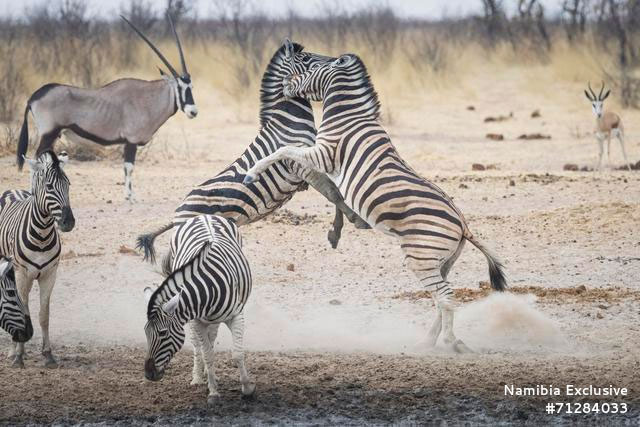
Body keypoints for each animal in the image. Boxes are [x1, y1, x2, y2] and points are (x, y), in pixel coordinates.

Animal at [0, 150, 75, 368]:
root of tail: (16, 190)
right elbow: (22, 310)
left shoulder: (49, 274)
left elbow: (44, 315)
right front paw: (18, 355)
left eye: (68, 184)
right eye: (49, 186)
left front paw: (48, 355)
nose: (68, 222)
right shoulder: (22, 275)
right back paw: (13, 351)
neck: (41, 236)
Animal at [17, 13, 196, 201]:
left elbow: (127, 167)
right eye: (179, 87)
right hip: (48, 134)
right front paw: (130, 197)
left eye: (191, 87)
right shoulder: (131, 141)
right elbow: (129, 167)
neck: (147, 99)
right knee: (36, 161)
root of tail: (34, 97)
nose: (193, 111)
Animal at [136, 40, 368, 262]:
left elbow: (334, 191)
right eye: (306, 58)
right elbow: (333, 192)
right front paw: (357, 222)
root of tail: (177, 214)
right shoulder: (300, 163)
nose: (337, 59)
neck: (288, 121)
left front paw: (338, 231)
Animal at [145, 216, 255, 406]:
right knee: (199, 346)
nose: (148, 374)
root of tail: (203, 215)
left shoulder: (236, 316)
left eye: (163, 333)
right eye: (146, 332)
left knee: (211, 338)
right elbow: (207, 355)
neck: (207, 289)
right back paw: (198, 377)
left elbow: (238, 354)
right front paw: (213, 393)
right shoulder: (197, 321)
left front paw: (247, 389)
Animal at [242, 53, 508, 354]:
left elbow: (284, 150)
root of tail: (463, 224)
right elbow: (321, 182)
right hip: (440, 260)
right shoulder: (324, 159)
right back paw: (427, 342)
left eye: (310, 66)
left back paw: (453, 342)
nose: (286, 83)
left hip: (420, 256)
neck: (347, 115)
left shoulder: (325, 153)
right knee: (440, 299)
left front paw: (252, 172)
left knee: (446, 296)